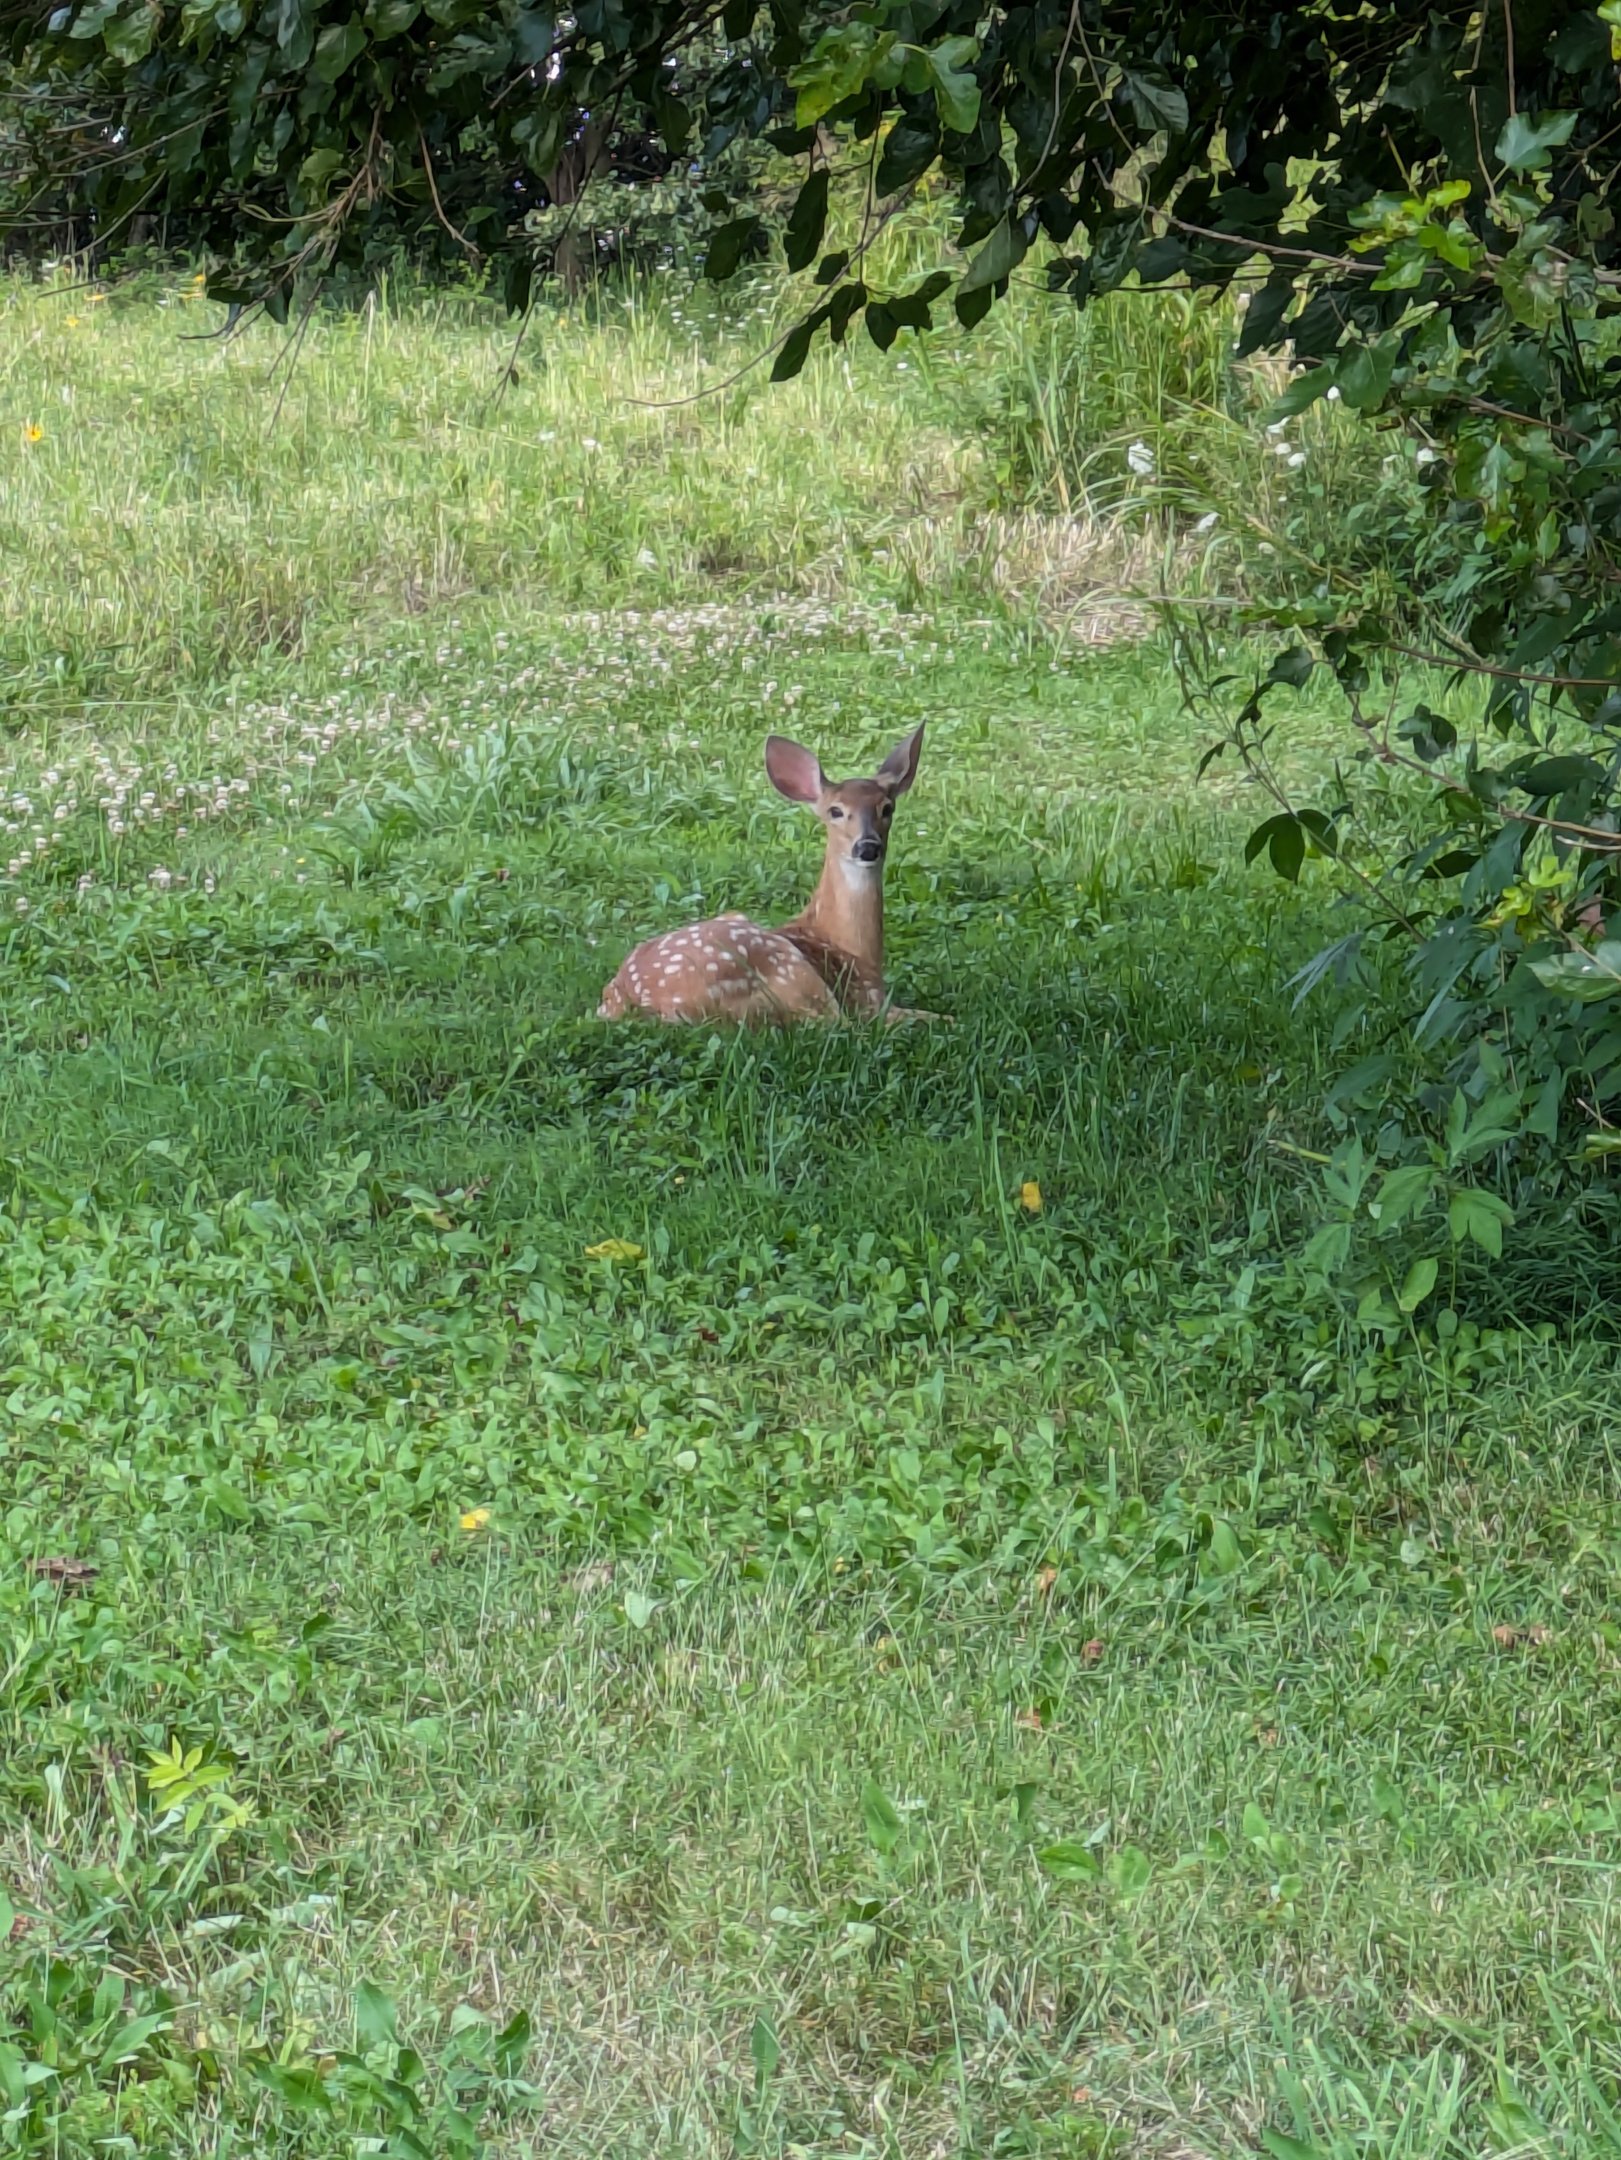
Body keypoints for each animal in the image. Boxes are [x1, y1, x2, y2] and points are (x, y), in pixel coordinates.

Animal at [597, 724, 941, 1027]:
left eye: (887, 808)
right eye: (836, 811)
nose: (867, 847)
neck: (852, 948)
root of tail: (626, 1001)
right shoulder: (868, 1001)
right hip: (788, 968)